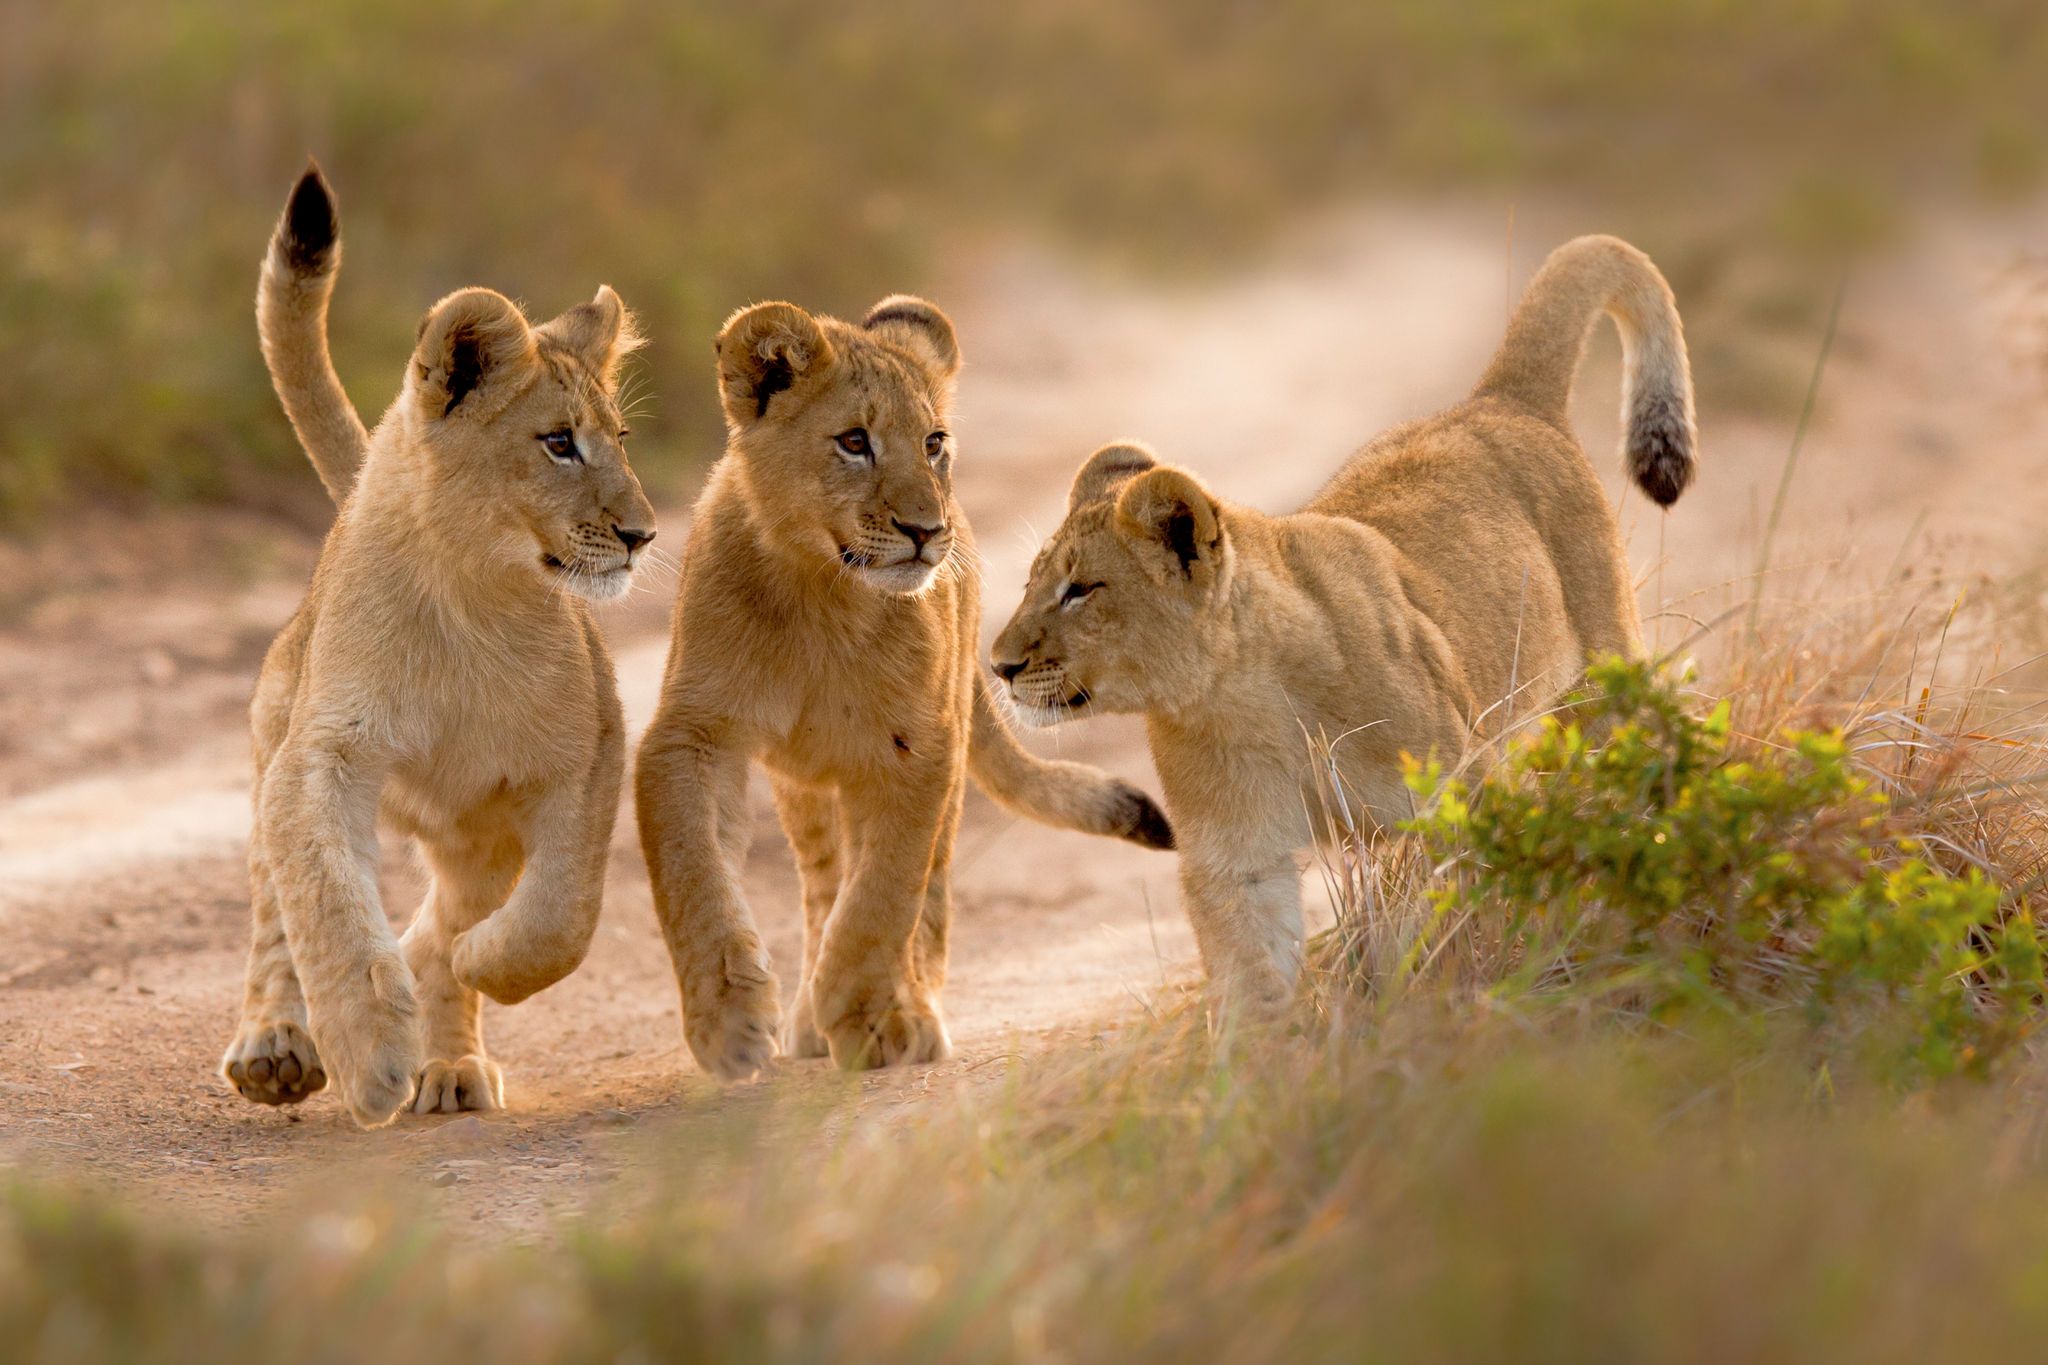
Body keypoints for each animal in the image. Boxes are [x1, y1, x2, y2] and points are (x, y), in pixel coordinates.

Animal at [219, 163, 658, 1127]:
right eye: (559, 443)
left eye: (621, 440)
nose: (643, 533)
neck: (473, 597)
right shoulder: (323, 753)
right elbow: (325, 897)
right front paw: (370, 1051)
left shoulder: (586, 755)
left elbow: (560, 916)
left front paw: (478, 965)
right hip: (274, 739)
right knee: (273, 911)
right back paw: (278, 1045)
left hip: (475, 828)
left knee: (448, 917)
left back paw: (450, 1054)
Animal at [634, 295, 1173, 1077]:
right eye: (854, 441)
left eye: (933, 442)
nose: (926, 530)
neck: (821, 594)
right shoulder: (692, 733)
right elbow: (693, 873)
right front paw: (729, 1021)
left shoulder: (918, 744)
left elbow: (884, 893)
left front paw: (866, 1012)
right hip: (805, 786)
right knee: (823, 880)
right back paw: (808, 1017)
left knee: (926, 886)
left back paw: (903, 1007)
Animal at [989, 234, 1697, 1009]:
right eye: (1031, 584)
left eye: (1081, 590)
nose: (998, 664)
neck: (1248, 697)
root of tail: (1500, 400)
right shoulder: (1237, 856)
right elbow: (1251, 974)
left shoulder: (1454, 798)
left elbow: (1442, 920)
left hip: (1600, 682)